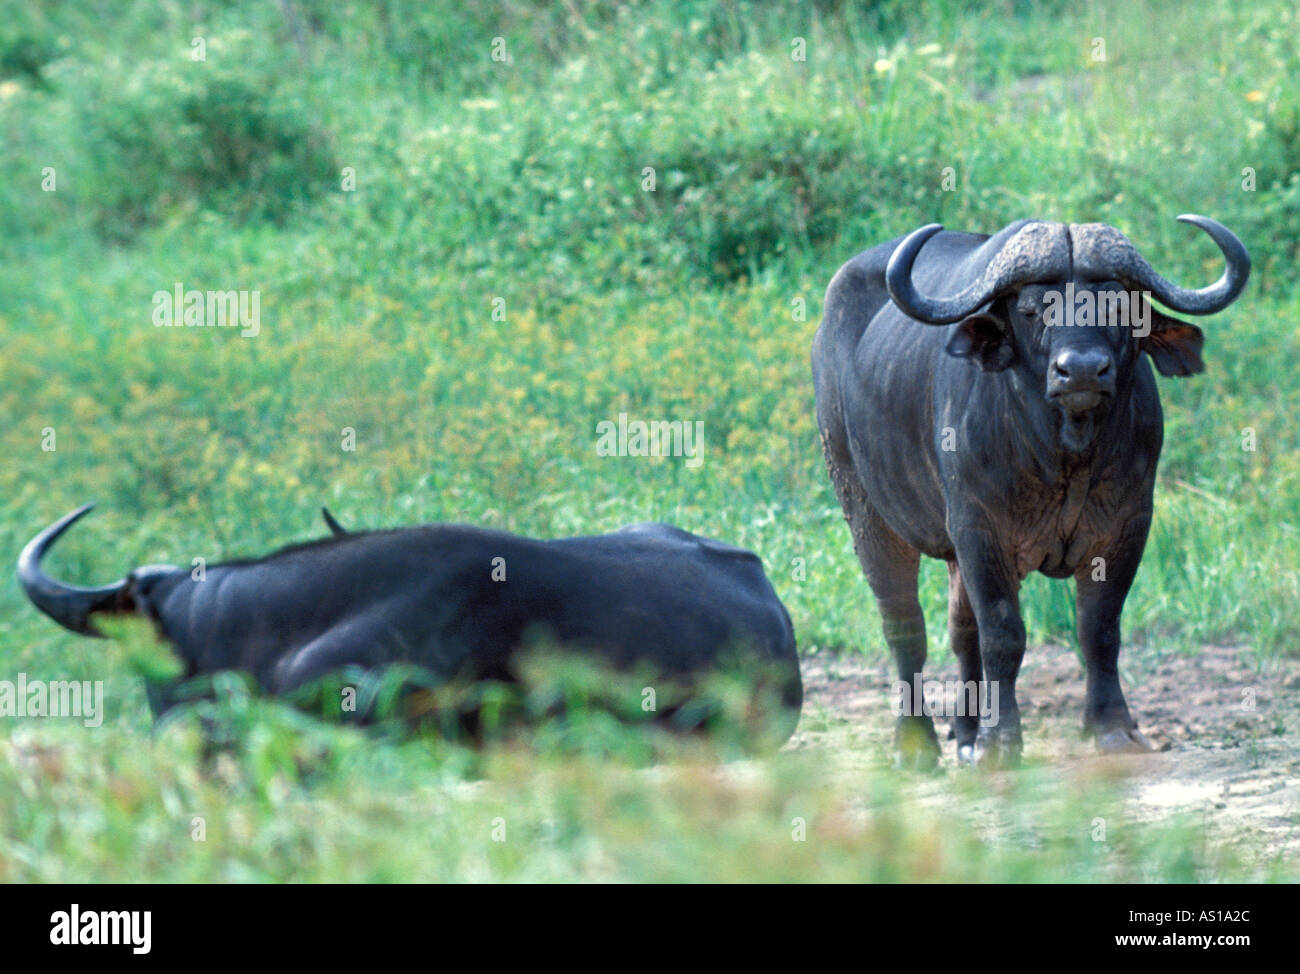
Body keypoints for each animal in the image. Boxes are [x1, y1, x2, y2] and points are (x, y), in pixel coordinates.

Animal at [811, 213, 1248, 769]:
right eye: (1030, 309)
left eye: (1119, 306)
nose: (1080, 370)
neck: (1064, 455)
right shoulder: (980, 530)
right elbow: (1004, 634)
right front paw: (1002, 741)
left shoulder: (1127, 526)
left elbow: (1099, 628)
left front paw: (1112, 727)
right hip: (865, 512)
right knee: (905, 627)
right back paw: (916, 744)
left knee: (960, 630)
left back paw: (966, 734)